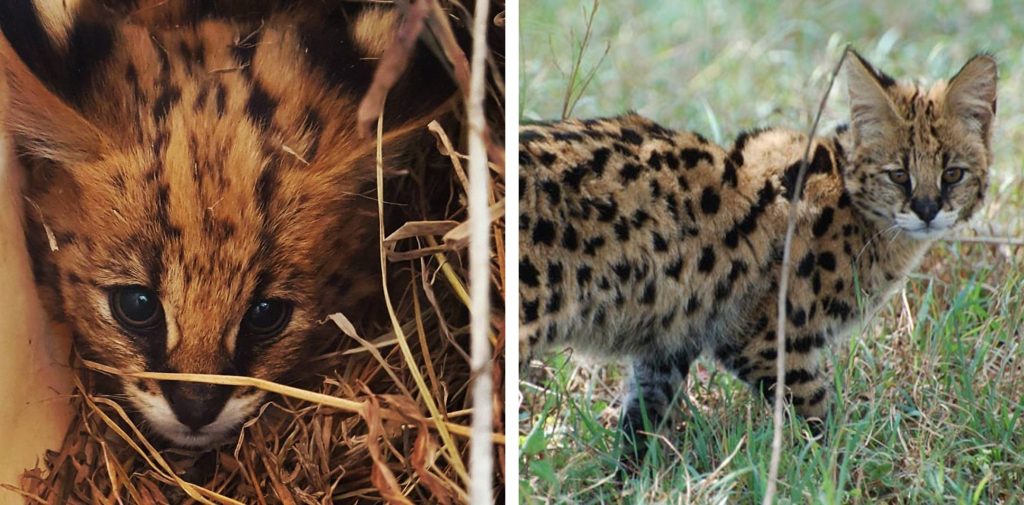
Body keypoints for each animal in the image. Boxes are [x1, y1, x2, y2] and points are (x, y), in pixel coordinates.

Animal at [516, 52, 995, 460]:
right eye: (898, 175)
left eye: (953, 174)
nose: (928, 210)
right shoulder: (766, 341)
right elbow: (819, 415)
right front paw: (842, 465)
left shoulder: (670, 340)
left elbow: (646, 420)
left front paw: (633, 478)